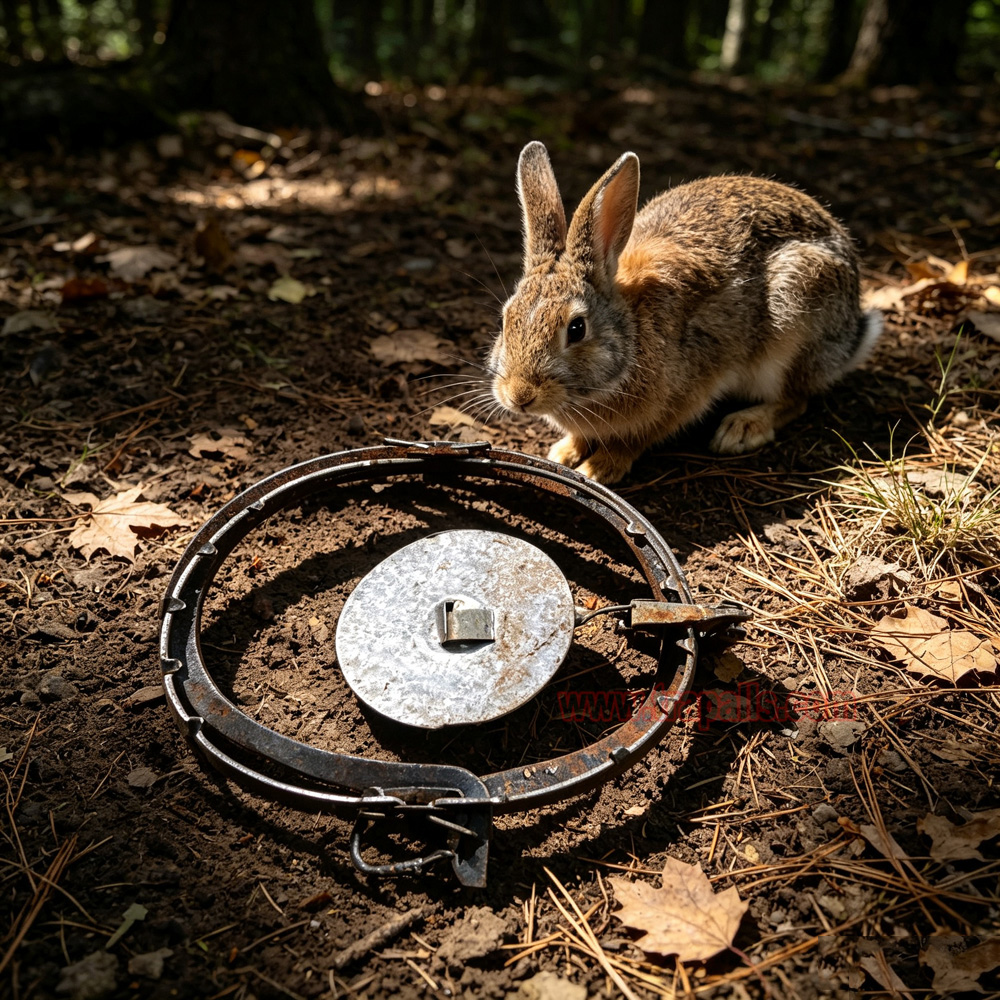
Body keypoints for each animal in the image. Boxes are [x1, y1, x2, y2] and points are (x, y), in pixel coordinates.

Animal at [487, 141, 882, 484]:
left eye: (576, 329)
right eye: (506, 320)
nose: (519, 396)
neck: (632, 333)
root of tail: (852, 334)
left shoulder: (682, 397)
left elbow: (635, 440)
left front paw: (599, 469)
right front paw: (564, 452)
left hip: (795, 319)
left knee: (796, 398)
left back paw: (743, 427)